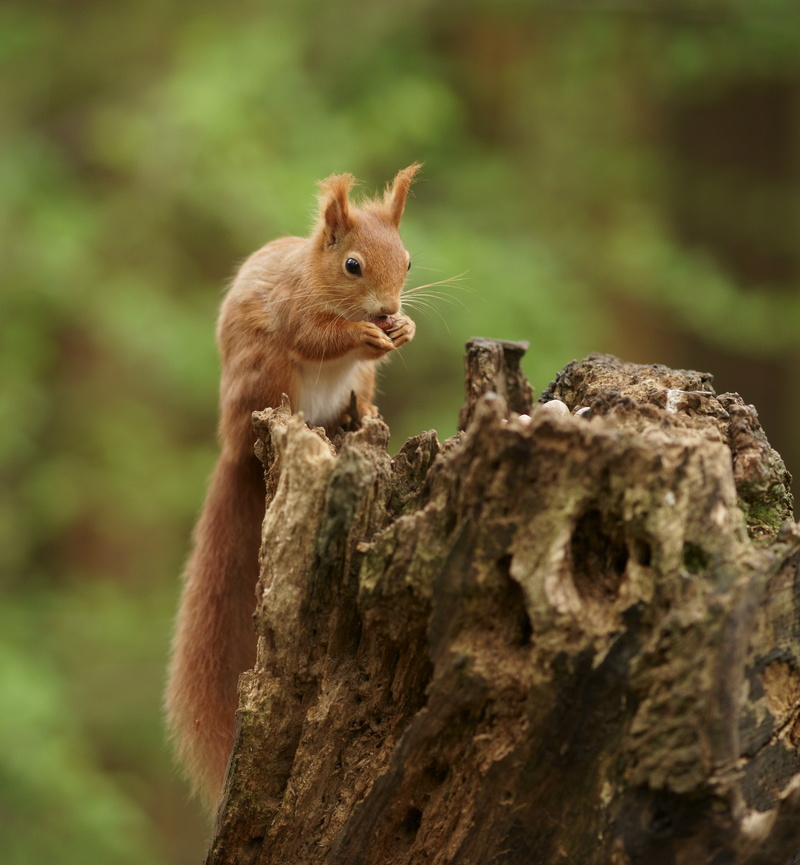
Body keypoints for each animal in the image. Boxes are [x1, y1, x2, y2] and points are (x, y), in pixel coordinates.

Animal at [165, 164, 421, 812]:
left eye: (408, 261)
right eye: (353, 265)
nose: (388, 310)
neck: (314, 275)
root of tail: (237, 446)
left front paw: (404, 327)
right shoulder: (293, 310)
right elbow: (318, 336)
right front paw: (364, 333)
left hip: (358, 384)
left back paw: (359, 415)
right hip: (266, 369)